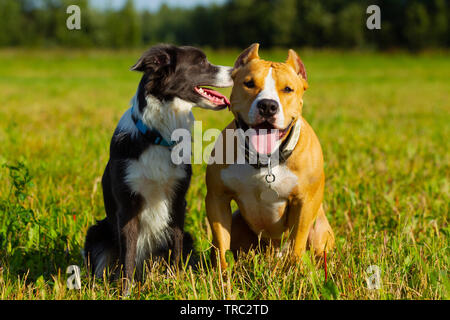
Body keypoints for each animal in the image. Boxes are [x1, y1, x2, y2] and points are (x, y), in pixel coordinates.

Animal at [83, 44, 232, 284]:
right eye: (201, 62)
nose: (236, 70)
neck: (157, 137)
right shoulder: (127, 206)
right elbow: (127, 258)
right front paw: (126, 290)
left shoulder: (178, 200)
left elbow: (176, 249)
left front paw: (177, 282)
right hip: (98, 232)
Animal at [207, 42, 334, 268]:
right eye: (248, 83)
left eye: (288, 89)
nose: (267, 105)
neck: (264, 161)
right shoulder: (216, 198)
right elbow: (221, 243)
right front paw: (222, 273)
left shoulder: (305, 202)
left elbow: (297, 241)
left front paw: (295, 269)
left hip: (319, 230)